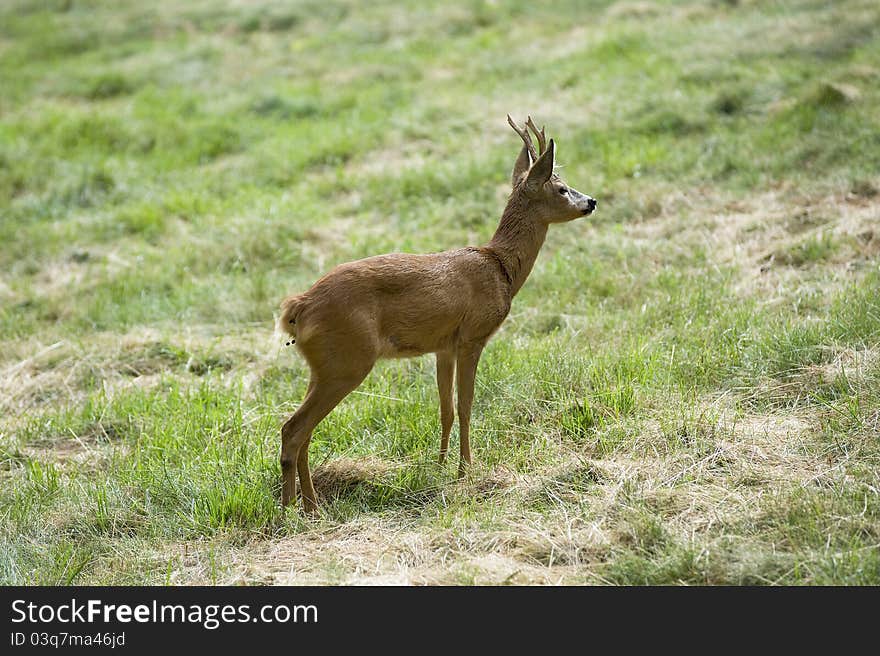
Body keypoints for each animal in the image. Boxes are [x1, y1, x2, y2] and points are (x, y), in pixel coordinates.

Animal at [276, 114, 600, 512]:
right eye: (562, 188)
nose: (592, 201)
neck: (501, 269)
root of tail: (298, 306)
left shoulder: (443, 346)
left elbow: (445, 407)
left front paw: (441, 465)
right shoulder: (473, 336)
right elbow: (466, 405)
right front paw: (466, 470)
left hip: (323, 366)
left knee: (303, 431)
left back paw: (310, 504)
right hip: (348, 361)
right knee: (293, 429)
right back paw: (291, 510)